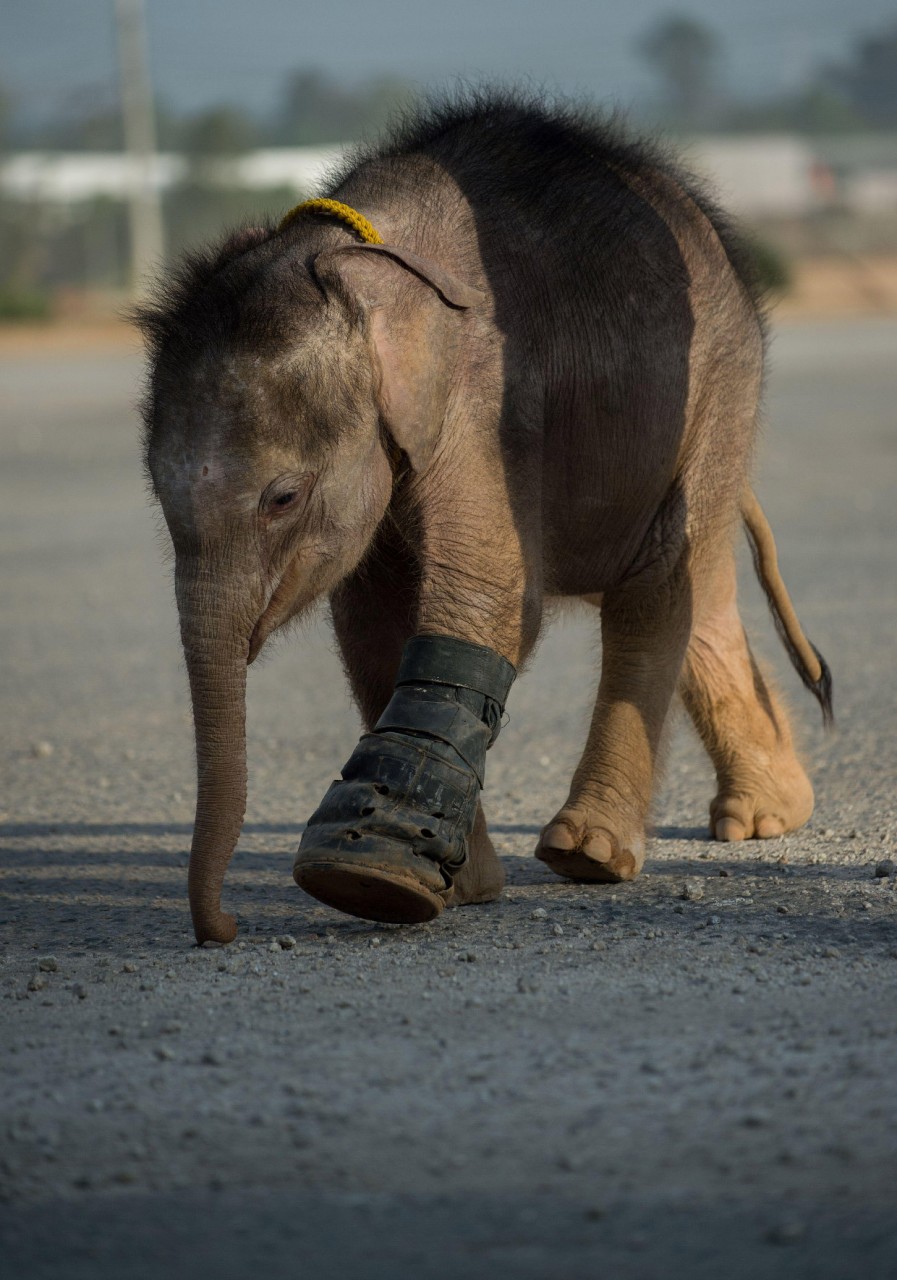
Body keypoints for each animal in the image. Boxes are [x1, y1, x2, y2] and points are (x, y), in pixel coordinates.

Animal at [136, 94, 829, 947]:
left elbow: (493, 594)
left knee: (657, 584)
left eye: (282, 498)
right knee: (695, 594)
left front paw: (370, 878)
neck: (348, 257)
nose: (223, 927)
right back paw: (766, 816)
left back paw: (588, 855)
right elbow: (371, 619)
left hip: (719, 387)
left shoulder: (483, 400)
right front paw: (452, 884)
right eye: (159, 499)